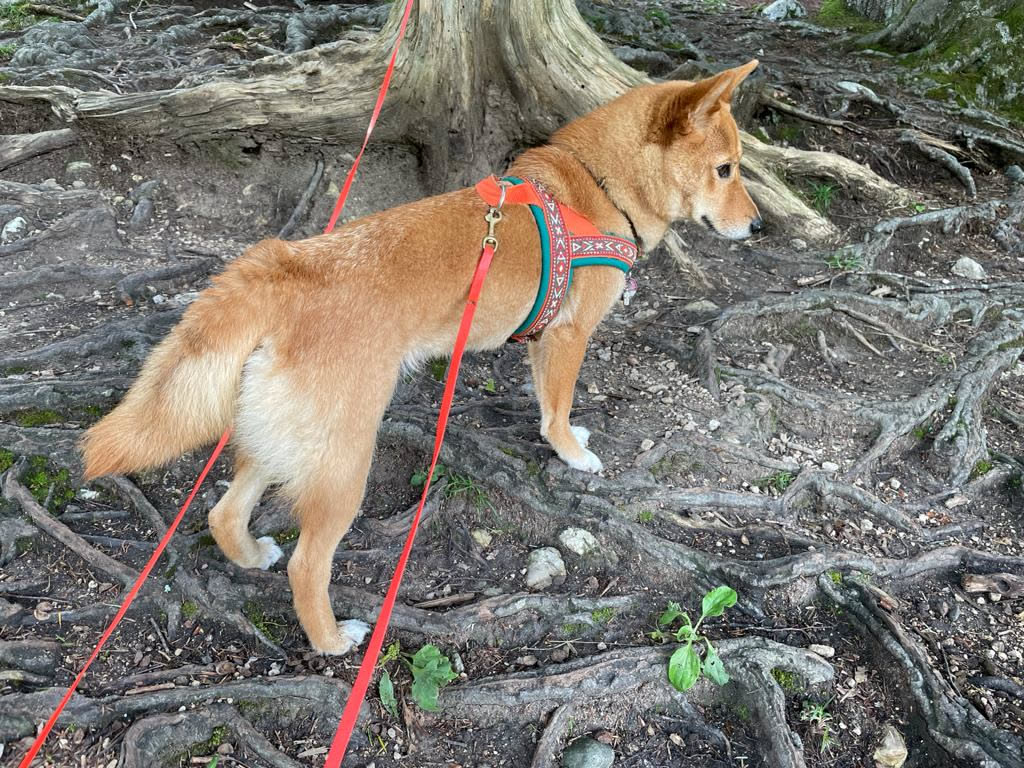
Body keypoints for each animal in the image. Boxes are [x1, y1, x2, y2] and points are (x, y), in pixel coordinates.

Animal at [81, 60, 763, 655]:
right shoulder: (569, 336)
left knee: (224, 514)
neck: (596, 188)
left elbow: (545, 398)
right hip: (344, 463)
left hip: (283, 436)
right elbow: (558, 410)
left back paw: (251, 557)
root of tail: (289, 268)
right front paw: (572, 452)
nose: (758, 229)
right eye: (725, 170)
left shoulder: (544, 343)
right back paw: (332, 640)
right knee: (307, 565)